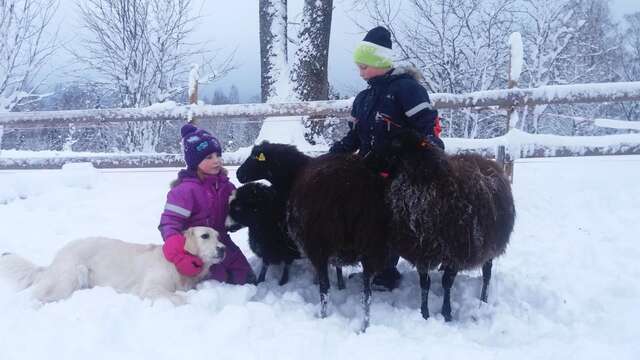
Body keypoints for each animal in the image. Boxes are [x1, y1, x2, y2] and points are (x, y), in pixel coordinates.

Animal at [0, 226, 225, 306]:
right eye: (205, 236)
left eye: (218, 236)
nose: (223, 249)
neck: (178, 261)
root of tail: (53, 262)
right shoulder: (151, 288)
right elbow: (179, 298)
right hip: (71, 277)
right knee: (37, 297)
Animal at [238, 142, 390, 330]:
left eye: (254, 157)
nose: (238, 174)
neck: (294, 173)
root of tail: (354, 188)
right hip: (372, 244)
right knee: (367, 295)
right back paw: (364, 327)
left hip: (321, 244)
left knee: (325, 290)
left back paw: (322, 317)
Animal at [370, 131, 516, 322]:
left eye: (396, 143)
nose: (366, 158)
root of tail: (491, 163)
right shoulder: (421, 251)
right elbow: (425, 284)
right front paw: (424, 313)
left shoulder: (456, 252)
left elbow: (447, 282)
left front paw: (446, 313)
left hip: (491, 245)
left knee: (487, 274)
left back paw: (483, 300)